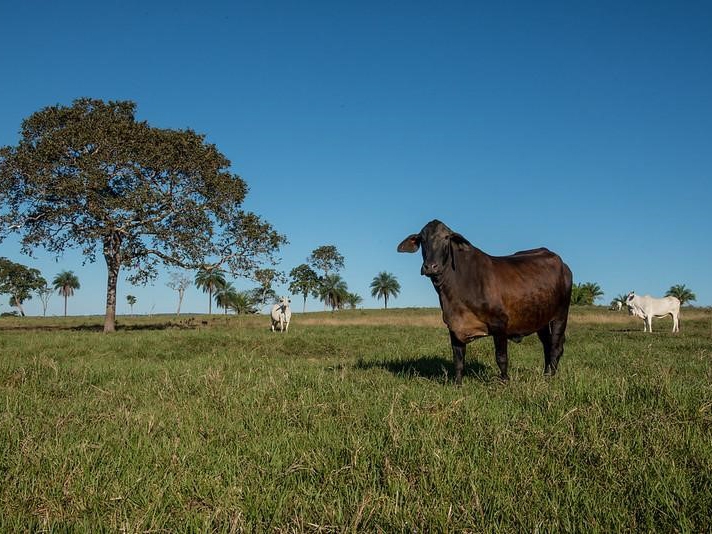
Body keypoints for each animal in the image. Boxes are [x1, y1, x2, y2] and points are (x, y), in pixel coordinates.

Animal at [400, 221, 572, 386]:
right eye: (422, 239)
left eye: (446, 237)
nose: (430, 266)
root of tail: (561, 262)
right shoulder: (454, 327)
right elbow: (458, 360)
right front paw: (457, 385)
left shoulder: (500, 324)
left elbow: (501, 358)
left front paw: (504, 383)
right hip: (540, 319)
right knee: (547, 345)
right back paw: (546, 375)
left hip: (561, 315)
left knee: (556, 347)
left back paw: (551, 377)